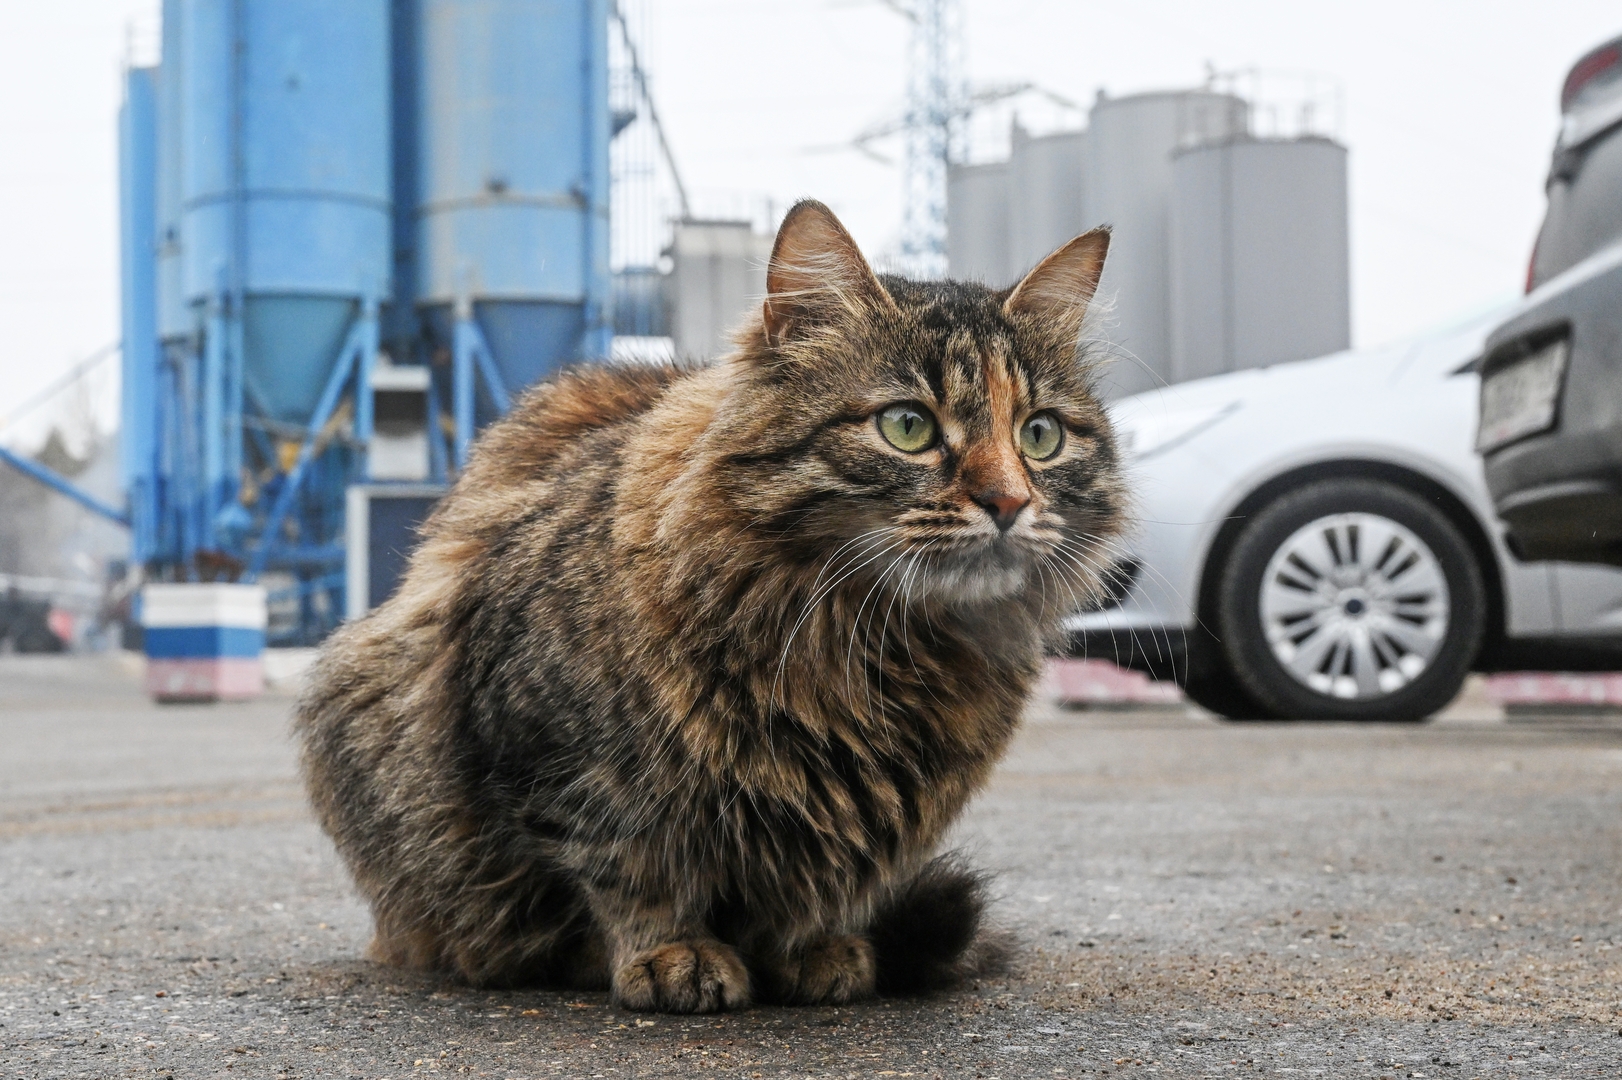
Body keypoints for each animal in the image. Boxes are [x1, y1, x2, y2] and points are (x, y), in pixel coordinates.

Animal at [295, 199, 1128, 1011]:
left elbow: (818, 884)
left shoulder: (867, 811)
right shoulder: (565, 762)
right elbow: (631, 872)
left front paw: (810, 948)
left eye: (1040, 436)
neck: (875, 646)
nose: (1009, 502)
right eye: (908, 426)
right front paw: (670, 953)